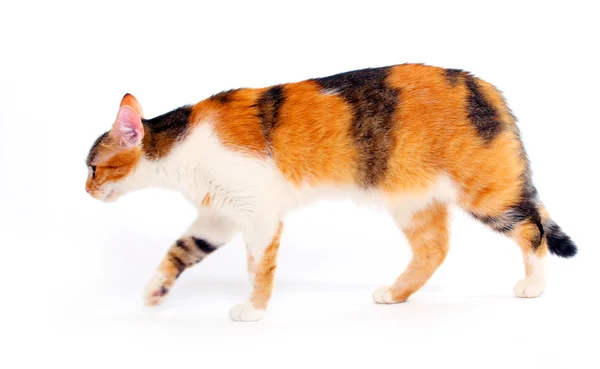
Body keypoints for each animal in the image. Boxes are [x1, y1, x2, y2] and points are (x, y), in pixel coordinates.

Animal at [84, 64, 576, 322]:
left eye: (92, 167)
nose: (85, 190)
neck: (180, 147)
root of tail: (486, 85)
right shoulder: (219, 215)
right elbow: (181, 249)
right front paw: (155, 292)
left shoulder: (258, 213)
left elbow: (259, 265)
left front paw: (254, 308)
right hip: (412, 199)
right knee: (434, 248)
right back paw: (395, 294)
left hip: (486, 190)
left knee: (532, 227)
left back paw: (534, 285)